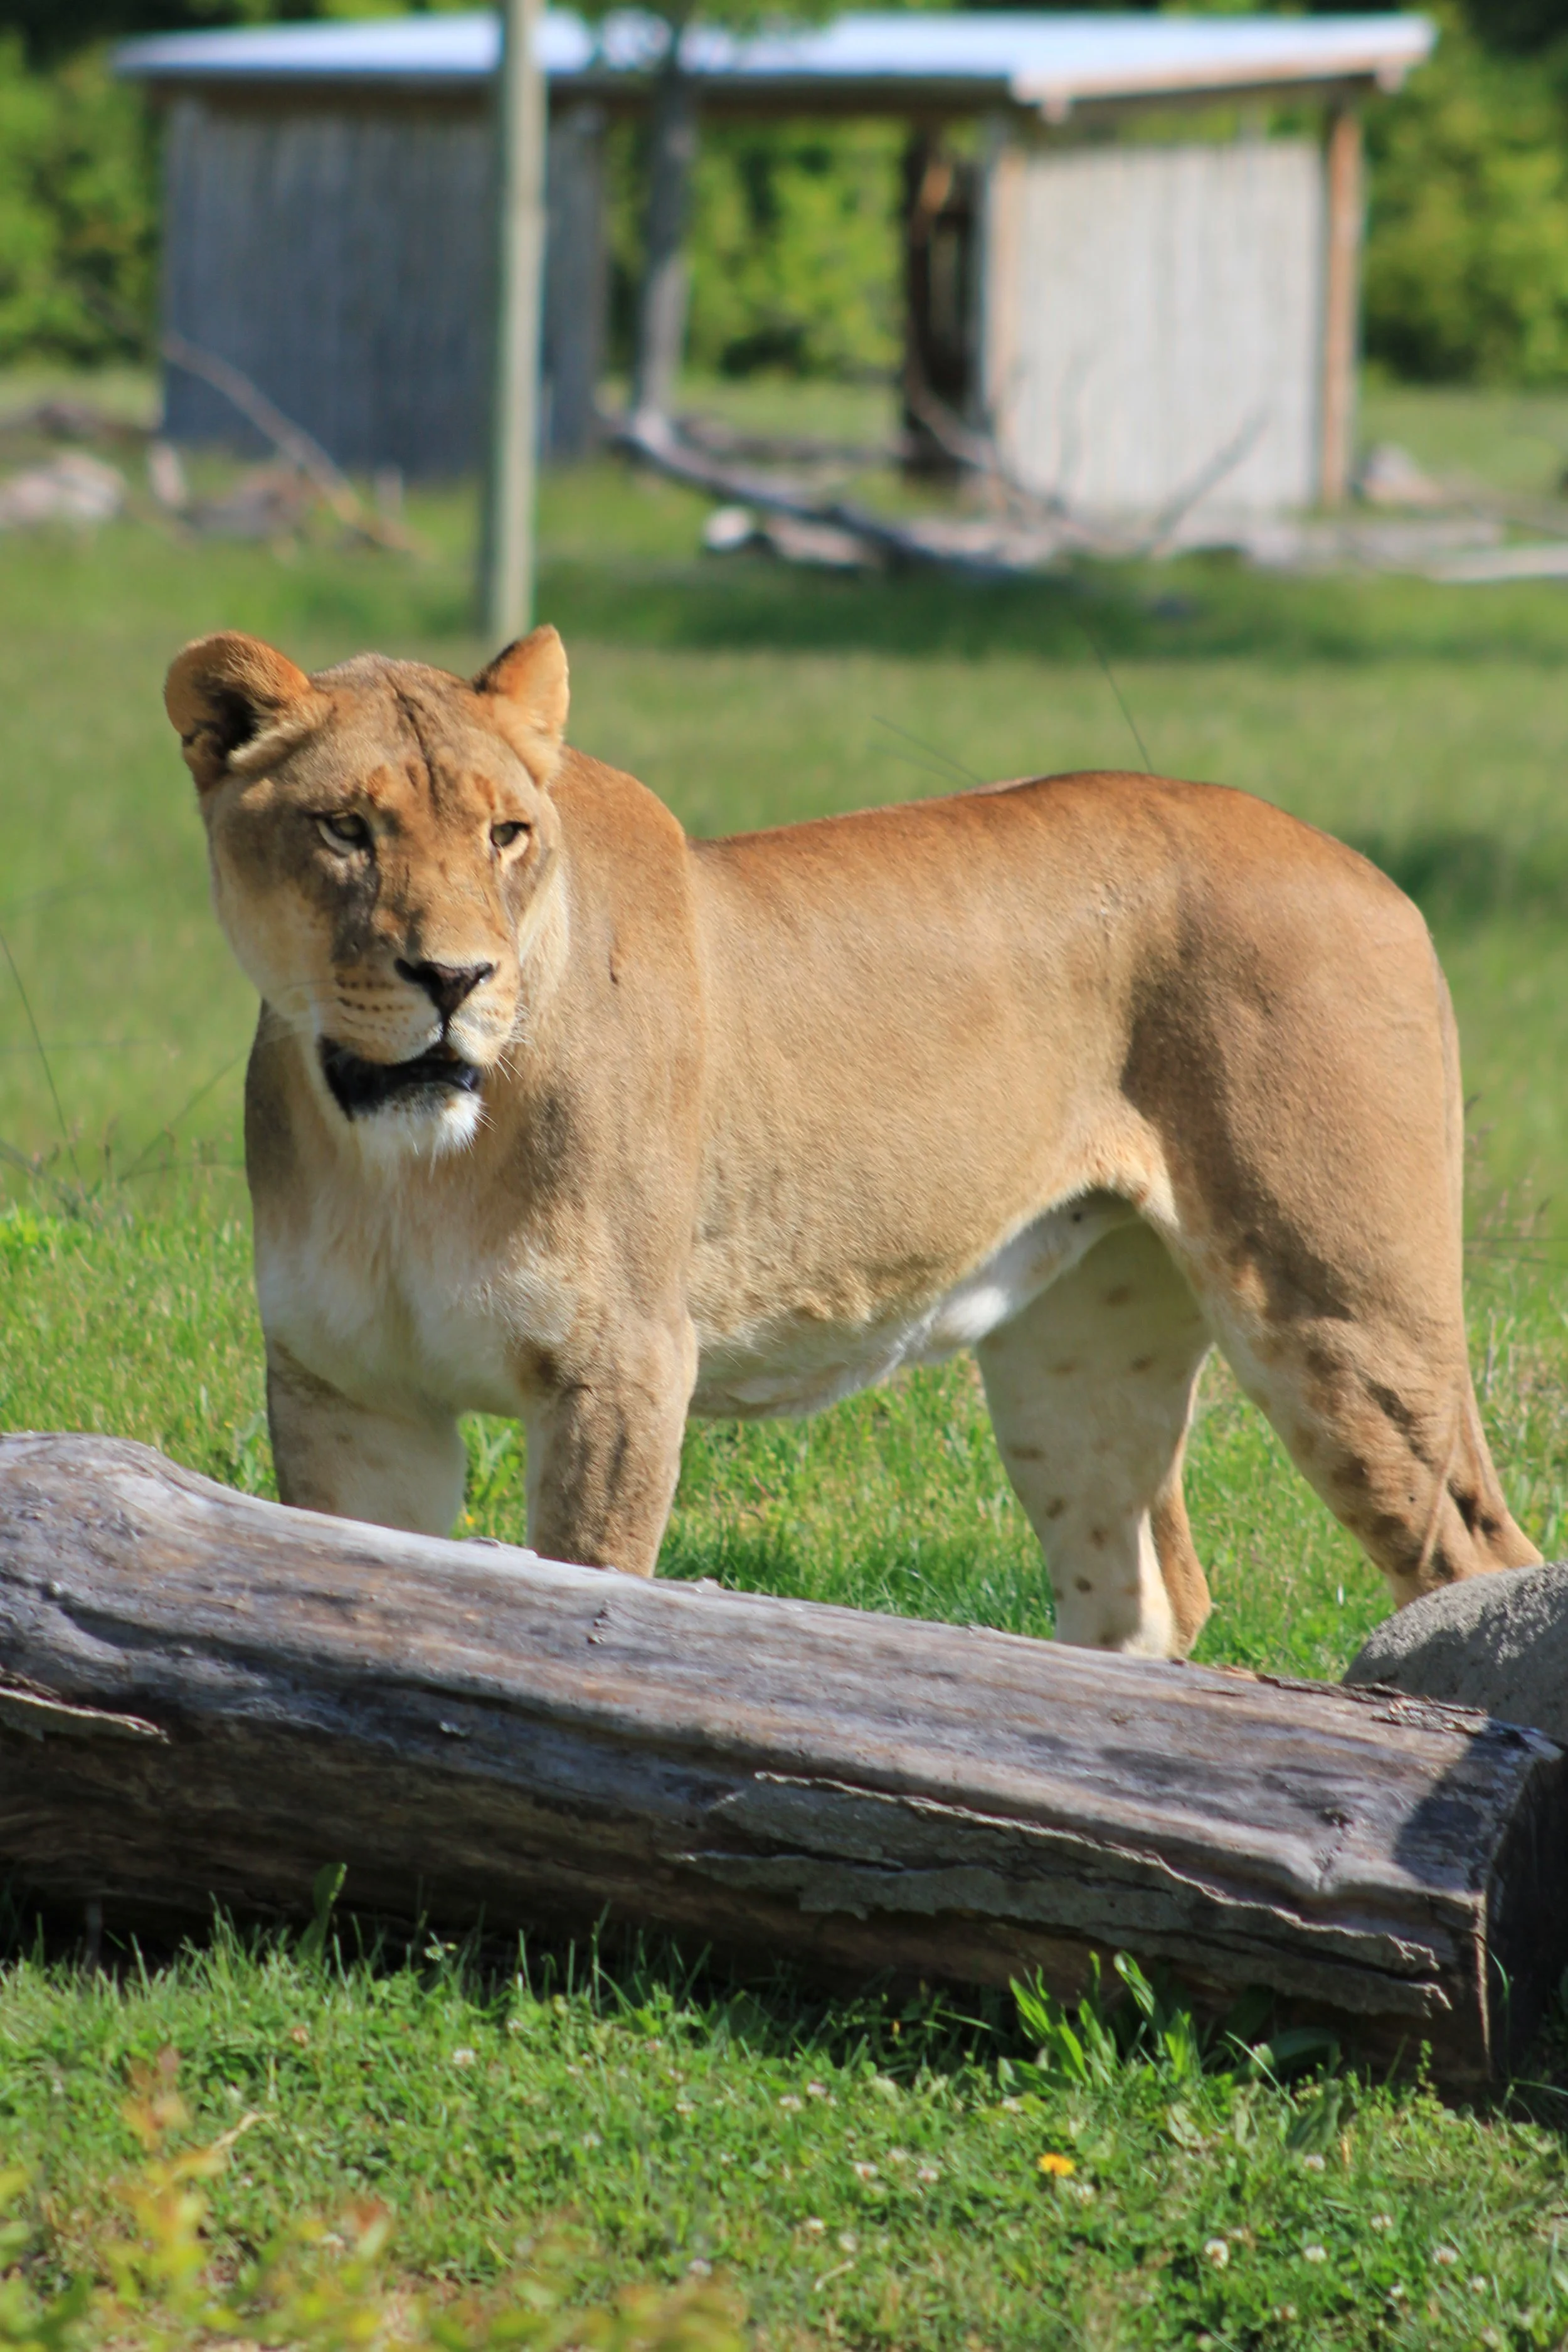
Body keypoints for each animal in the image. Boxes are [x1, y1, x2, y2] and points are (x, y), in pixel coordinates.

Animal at [164, 623, 1539, 1658]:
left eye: (508, 834)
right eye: (347, 831)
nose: (454, 979)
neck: (400, 1163)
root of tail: (1372, 875)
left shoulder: (621, 1370)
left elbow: (582, 1596)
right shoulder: (352, 1393)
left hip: (1338, 1310)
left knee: (1474, 1555)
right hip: (1082, 1352)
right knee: (1142, 1588)